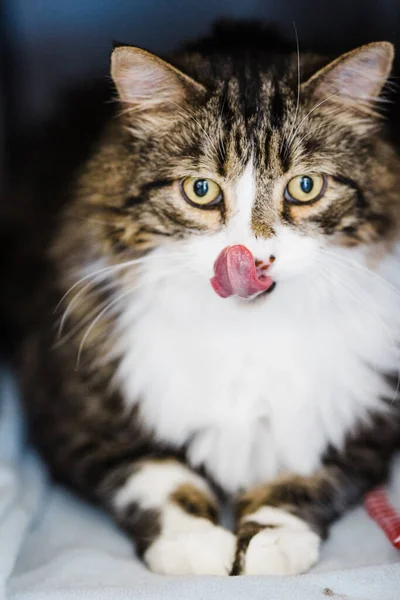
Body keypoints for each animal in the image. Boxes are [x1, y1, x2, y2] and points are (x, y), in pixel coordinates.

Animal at [12, 23, 400, 576]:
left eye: (305, 186)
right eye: (201, 190)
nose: (253, 260)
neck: (243, 335)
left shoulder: (365, 422)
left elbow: (306, 477)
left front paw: (271, 541)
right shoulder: (72, 416)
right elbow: (157, 474)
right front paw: (192, 543)